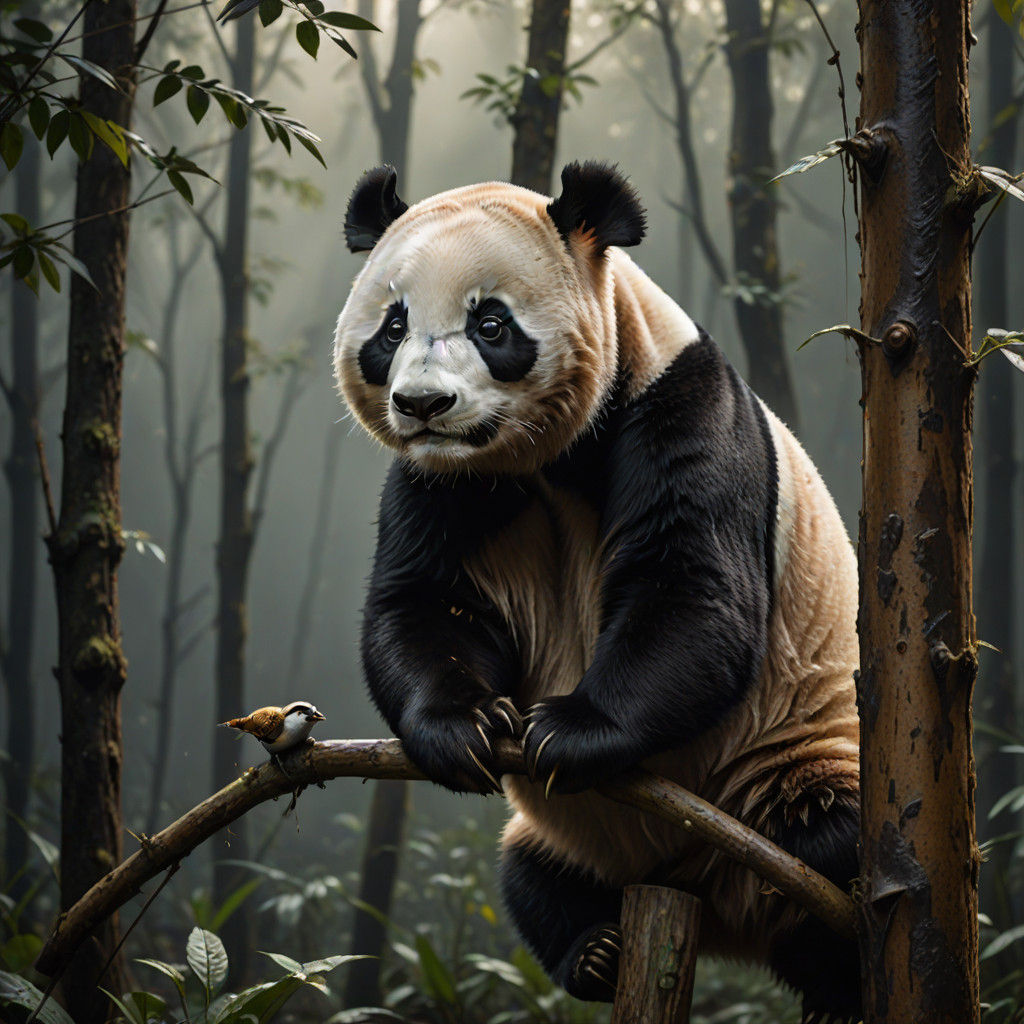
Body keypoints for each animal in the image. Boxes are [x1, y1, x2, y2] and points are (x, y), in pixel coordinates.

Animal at [333, 162, 862, 1024]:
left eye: (490, 324)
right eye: (391, 327)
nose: (423, 406)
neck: (541, 457)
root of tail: (713, 903)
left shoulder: (677, 406)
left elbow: (691, 590)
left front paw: (567, 733)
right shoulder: (440, 480)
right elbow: (424, 601)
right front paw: (466, 727)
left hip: (794, 758)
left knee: (832, 845)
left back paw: (836, 970)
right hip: (572, 840)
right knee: (531, 876)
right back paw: (596, 950)